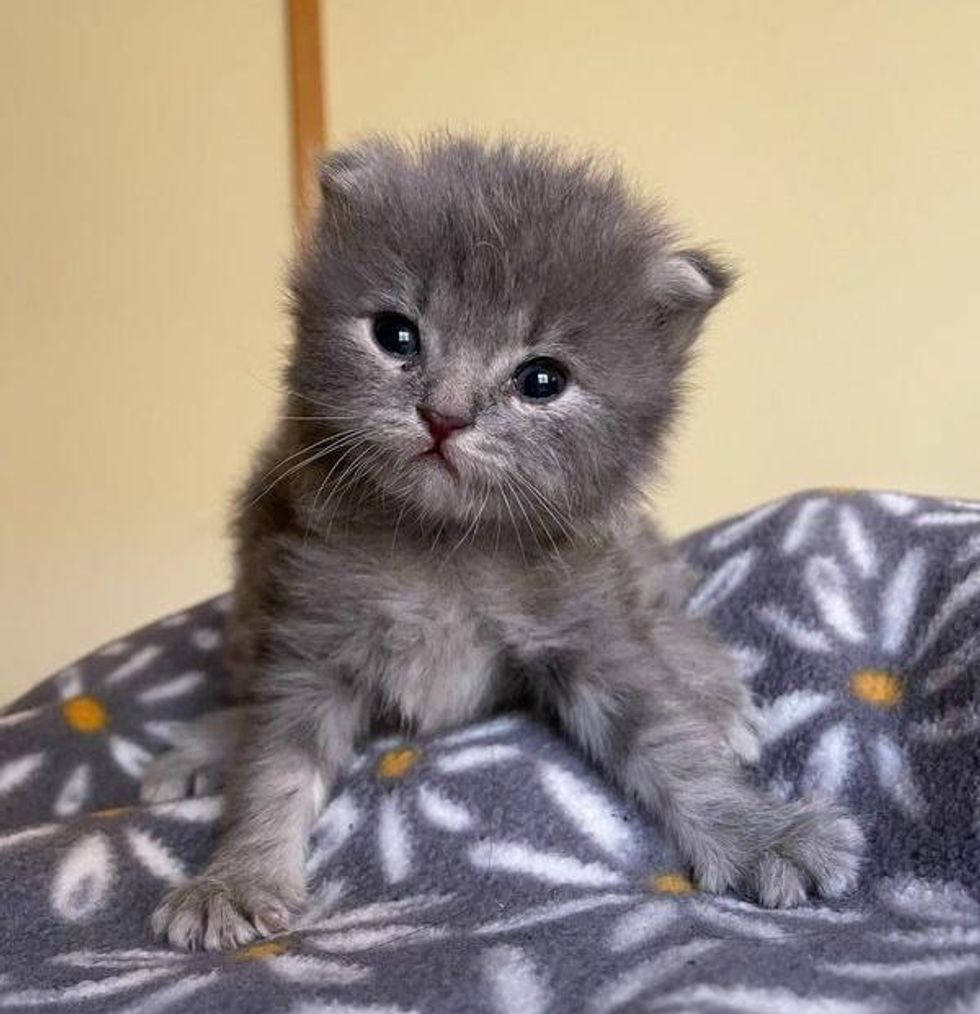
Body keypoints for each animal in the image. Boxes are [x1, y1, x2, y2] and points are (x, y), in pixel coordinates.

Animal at [142, 134, 864, 949]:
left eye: (541, 379)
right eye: (395, 334)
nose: (444, 416)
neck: (444, 543)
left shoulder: (587, 621)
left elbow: (667, 734)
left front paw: (759, 832)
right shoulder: (309, 629)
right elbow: (273, 765)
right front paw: (235, 879)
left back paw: (714, 691)